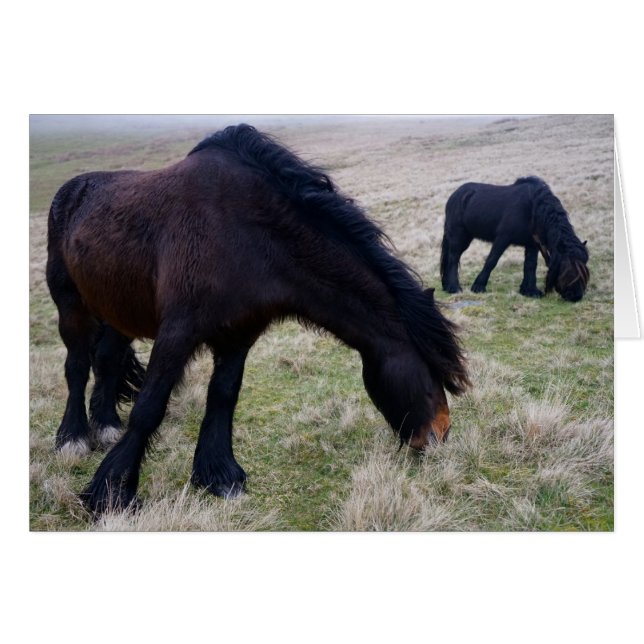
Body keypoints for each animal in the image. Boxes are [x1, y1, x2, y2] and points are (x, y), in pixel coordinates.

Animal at [46, 124, 470, 515]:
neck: (245, 235)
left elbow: (223, 398)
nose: (440, 434)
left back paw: (105, 426)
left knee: (107, 362)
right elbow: (149, 406)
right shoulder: (178, 332)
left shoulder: (239, 335)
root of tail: (72, 190)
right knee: (77, 366)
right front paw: (111, 492)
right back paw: (73, 439)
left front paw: (219, 476)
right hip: (72, 308)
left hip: (119, 314)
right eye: (430, 372)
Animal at [440, 177, 590, 301]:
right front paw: (478, 287)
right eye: (569, 270)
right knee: (453, 258)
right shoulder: (502, 238)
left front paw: (530, 291)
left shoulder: (532, 244)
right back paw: (454, 288)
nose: (576, 296)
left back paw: (447, 286)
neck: (532, 208)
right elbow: (491, 261)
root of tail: (454, 196)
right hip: (459, 236)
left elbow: (530, 265)